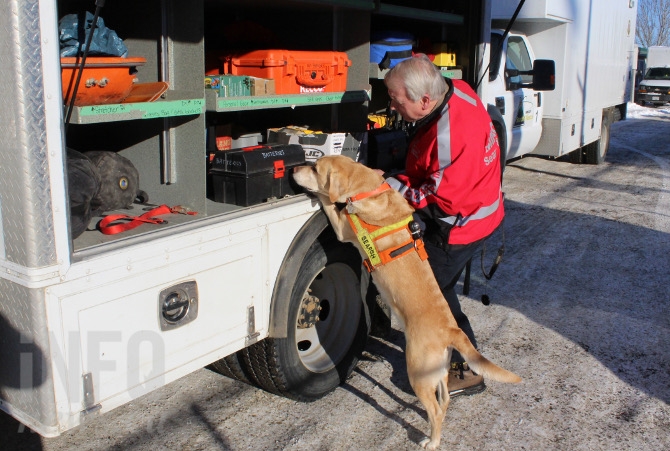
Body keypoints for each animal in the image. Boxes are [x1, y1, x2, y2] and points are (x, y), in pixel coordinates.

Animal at [292, 154, 520, 448]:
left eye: (314, 168)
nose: (293, 168)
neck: (369, 190)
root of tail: (451, 330)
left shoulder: (343, 228)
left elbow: (330, 203)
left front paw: (321, 196)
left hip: (418, 372)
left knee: (435, 409)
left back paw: (432, 441)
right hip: (438, 370)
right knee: (444, 400)